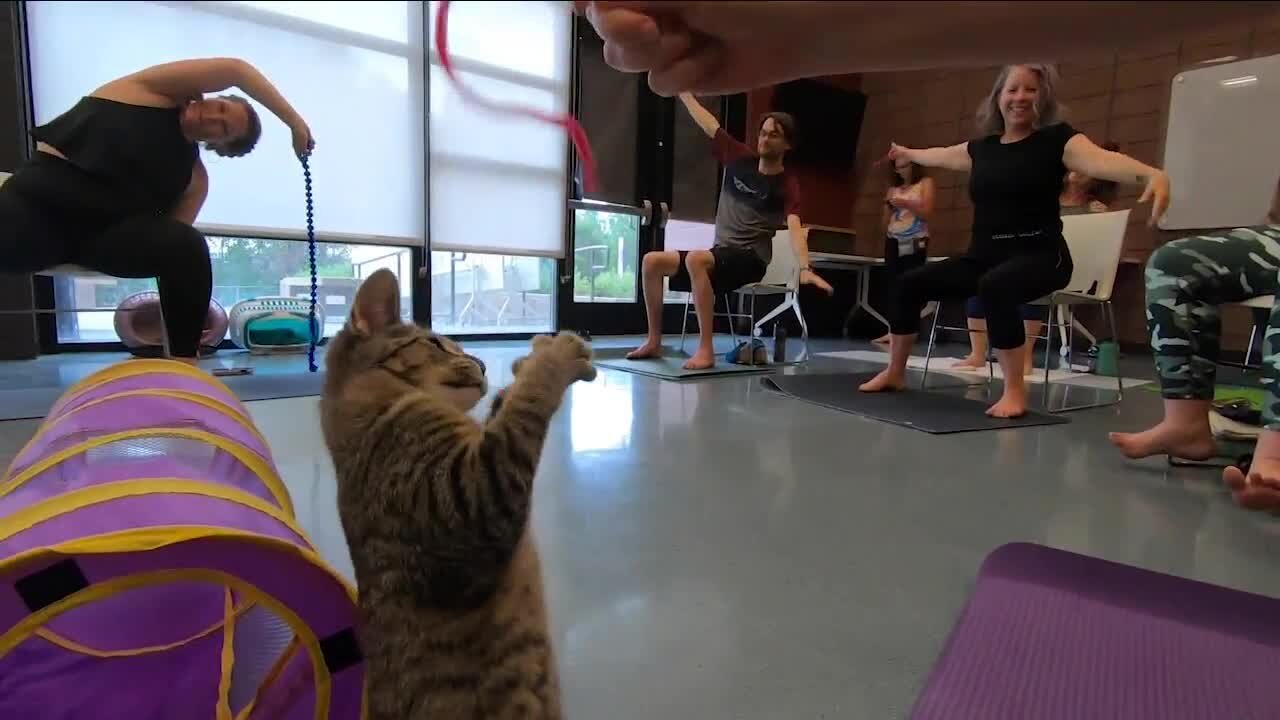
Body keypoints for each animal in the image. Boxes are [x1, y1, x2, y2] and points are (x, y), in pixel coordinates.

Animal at [322, 266, 596, 712]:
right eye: (436, 343)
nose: (482, 363)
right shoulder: (473, 496)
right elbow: (529, 401)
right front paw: (554, 355)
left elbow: (507, 404)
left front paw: (529, 357)